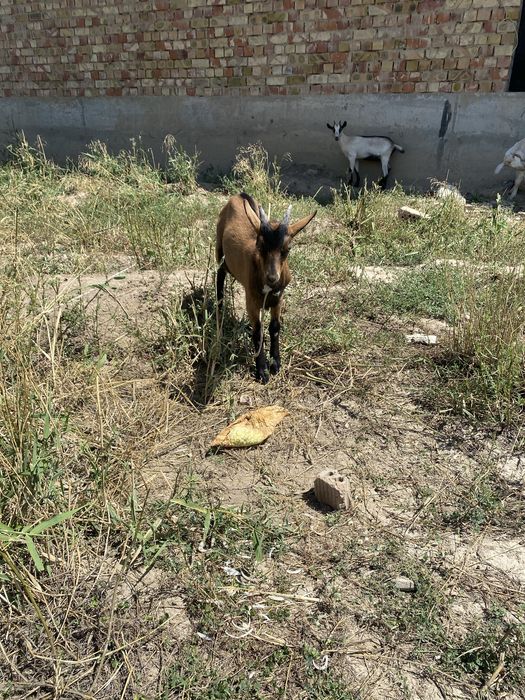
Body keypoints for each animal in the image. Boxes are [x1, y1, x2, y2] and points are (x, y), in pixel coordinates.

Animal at [216, 193, 316, 383]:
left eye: (287, 248)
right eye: (260, 246)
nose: (272, 277)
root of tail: (239, 195)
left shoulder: (278, 297)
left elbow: (275, 327)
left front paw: (276, 363)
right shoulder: (251, 300)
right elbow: (258, 331)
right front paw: (262, 370)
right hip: (219, 248)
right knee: (219, 277)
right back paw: (219, 313)